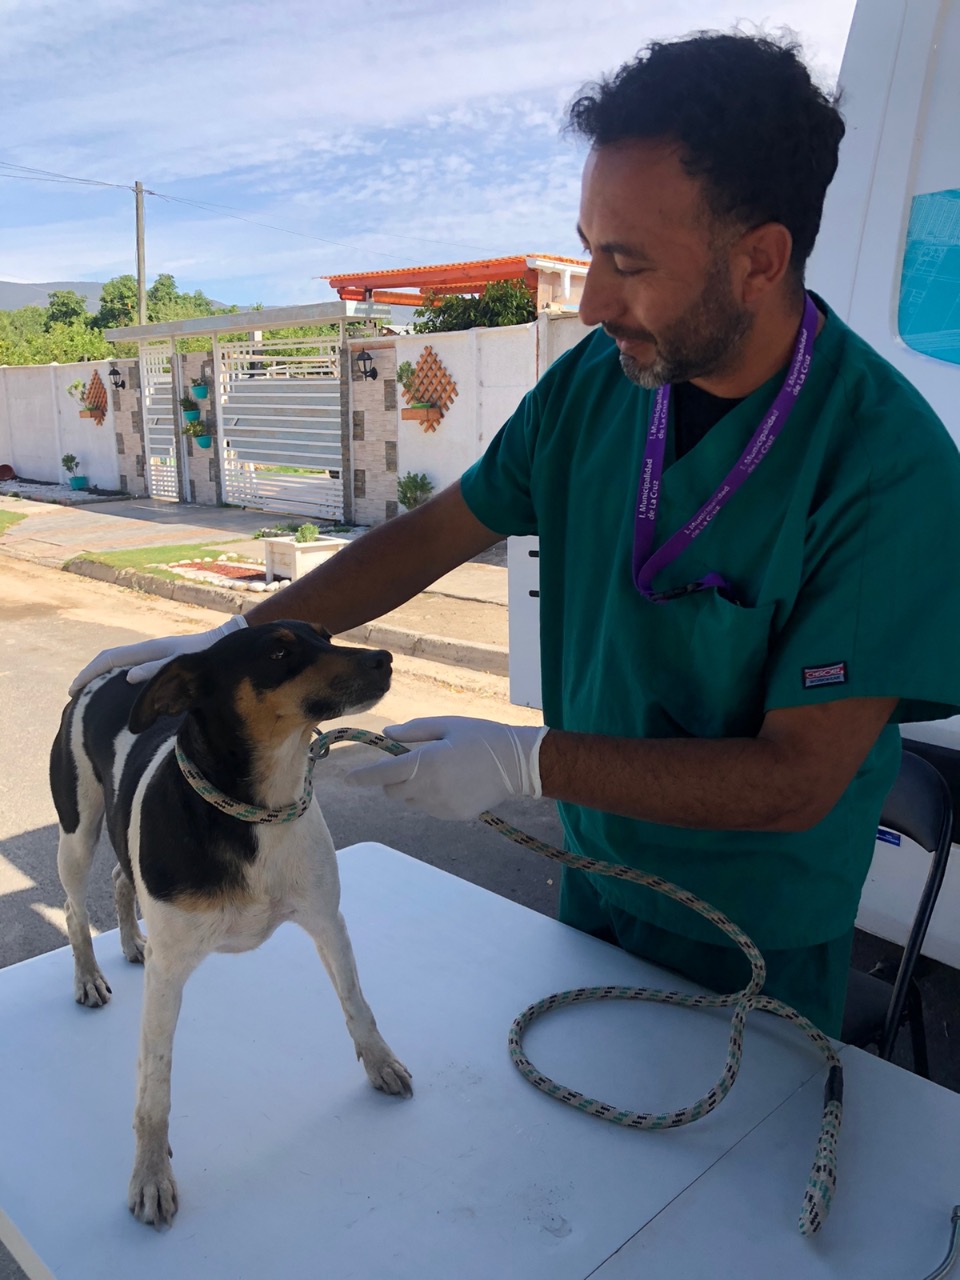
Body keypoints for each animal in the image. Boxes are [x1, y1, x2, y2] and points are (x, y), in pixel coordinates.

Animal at [51, 622, 414, 1228]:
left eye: (327, 635)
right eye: (279, 651)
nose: (384, 659)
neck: (260, 809)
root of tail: (100, 679)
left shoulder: (327, 919)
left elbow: (357, 1004)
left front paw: (381, 1064)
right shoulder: (170, 976)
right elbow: (155, 1087)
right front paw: (151, 1175)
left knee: (122, 878)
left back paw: (131, 943)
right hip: (78, 832)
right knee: (76, 911)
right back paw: (87, 976)